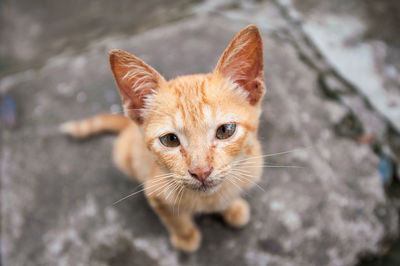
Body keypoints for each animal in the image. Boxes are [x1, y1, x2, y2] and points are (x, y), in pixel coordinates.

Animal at [61, 25, 266, 251]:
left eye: (225, 130)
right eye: (170, 140)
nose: (201, 172)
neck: (207, 199)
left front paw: (231, 206)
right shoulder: (156, 195)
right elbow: (175, 219)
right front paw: (186, 237)